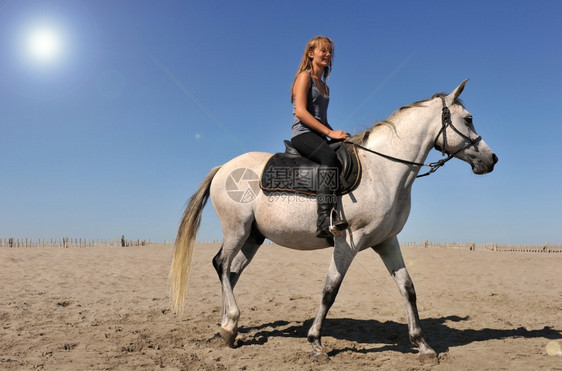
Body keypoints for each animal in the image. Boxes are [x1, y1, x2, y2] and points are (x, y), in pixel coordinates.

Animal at [168, 81, 496, 364]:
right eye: (468, 119)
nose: (491, 159)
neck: (383, 170)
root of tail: (223, 167)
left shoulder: (387, 242)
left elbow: (407, 288)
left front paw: (423, 345)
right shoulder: (347, 243)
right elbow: (330, 290)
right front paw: (316, 343)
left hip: (253, 237)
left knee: (232, 272)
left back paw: (228, 326)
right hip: (236, 230)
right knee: (221, 264)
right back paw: (230, 324)